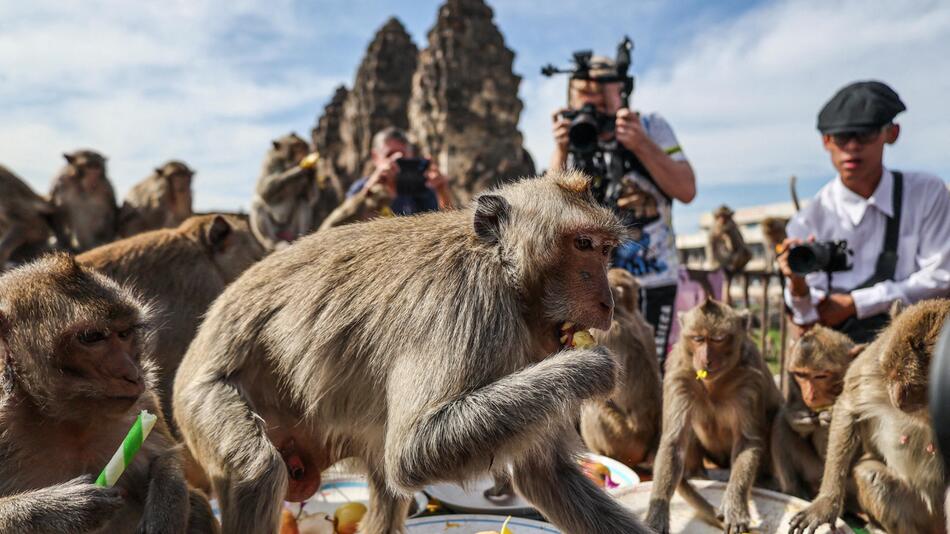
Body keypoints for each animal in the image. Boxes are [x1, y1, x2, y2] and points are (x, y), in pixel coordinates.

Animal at [0, 255, 217, 534]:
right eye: (92, 337)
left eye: (124, 334)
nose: (132, 374)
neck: (65, 421)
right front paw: (67, 509)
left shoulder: (145, 401)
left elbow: (168, 455)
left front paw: (167, 500)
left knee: (199, 505)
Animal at [648, 300, 780, 532]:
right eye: (698, 339)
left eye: (718, 339)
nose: (706, 359)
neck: (714, 384)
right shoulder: (678, 375)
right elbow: (674, 441)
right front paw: (657, 514)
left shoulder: (750, 380)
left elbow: (748, 441)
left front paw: (735, 506)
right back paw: (696, 474)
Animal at [768, 326, 868, 502]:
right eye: (801, 375)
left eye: (820, 376)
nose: (809, 395)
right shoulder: (792, 380)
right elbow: (791, 411)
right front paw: (800, 419)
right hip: (812, 470)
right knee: (780, 422)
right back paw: (794, 493)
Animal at [788, 300, 950, 534]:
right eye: (891, 376)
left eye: (916, 386)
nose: (896, 400)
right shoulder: (876, 362)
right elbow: (849, 407)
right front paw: (825, 505)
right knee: (870, 475)